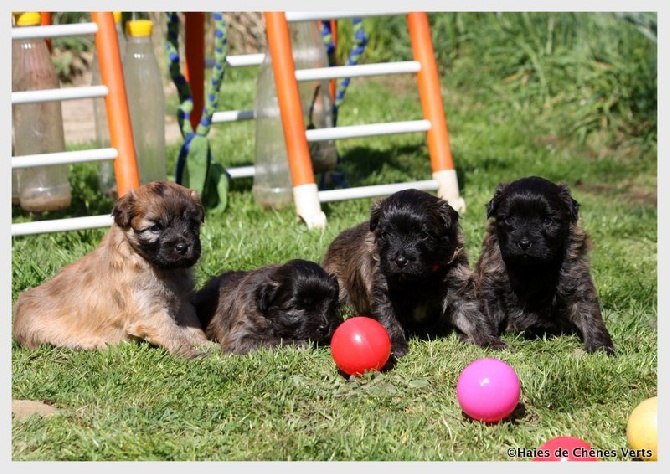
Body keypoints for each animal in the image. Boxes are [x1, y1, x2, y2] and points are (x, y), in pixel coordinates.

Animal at [12, 180, 207, 358]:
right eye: (155, 227)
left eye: (192, 223)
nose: (183, 246)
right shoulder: (150, 311)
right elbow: (173, 333)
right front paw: (190, 353)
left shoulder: (184, 303)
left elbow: (193, 328)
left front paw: (207, 346)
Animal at [193, 258, 342, 354]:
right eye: (299, 307)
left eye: (330, 303)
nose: (325, 328)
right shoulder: (239, 340)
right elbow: (271, 341)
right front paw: (299, 344)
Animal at [322, 187, 506, 358]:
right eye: (386, 234)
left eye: (423, 234)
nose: (400, 261)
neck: (419, 280)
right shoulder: (384, 293)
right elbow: (389, 322)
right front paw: (396, 346)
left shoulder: (458, 290)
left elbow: (474, 318)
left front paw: (491, 341)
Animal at [476, 176, 616, 354]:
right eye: (509, 219)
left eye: (547, 221)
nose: (524, 243)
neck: (532, 269)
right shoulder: (491, 284)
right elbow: (486, 315)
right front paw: (491, 342)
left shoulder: (577, 282)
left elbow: (590, 314)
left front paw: (601, 347)